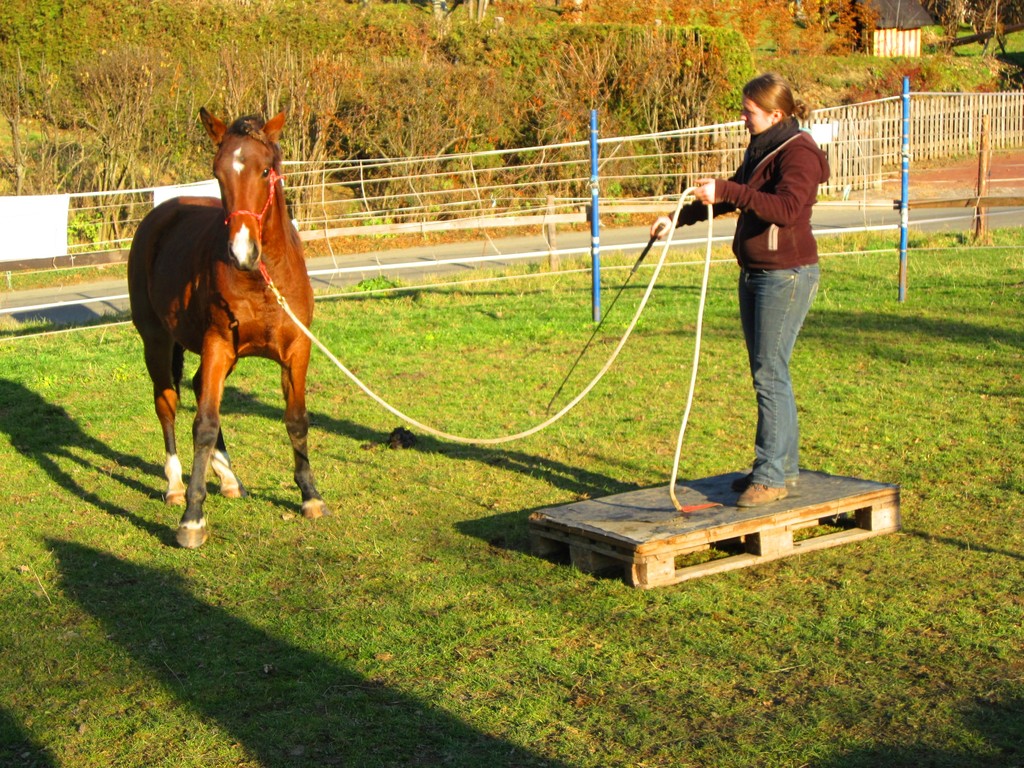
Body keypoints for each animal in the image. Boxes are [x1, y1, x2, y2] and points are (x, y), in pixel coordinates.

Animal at [128, 111, 327, 548]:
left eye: (266, 170)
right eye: (217, 173)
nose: (242, 251)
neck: (263, 280)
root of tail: (160, 213)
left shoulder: (296, 350)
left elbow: (296, 419)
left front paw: (310, 495)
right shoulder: (217, 345)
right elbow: (203, 424)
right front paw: (192, 519)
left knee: (197, 387)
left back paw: (228, 476)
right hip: (157, 341)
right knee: (167, 402)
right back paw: (176, 486)